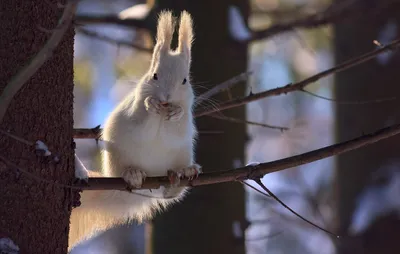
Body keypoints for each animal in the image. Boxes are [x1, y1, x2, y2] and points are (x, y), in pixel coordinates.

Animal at [69, 9, 202, 250]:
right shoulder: (134, 109)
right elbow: (141, 120)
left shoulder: (188, 112)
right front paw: (151, 105)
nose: (166, 97)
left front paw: (176, 113)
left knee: (169, 194)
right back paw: (133, 174)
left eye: (185, 81)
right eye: (154, 75)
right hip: (118, 159)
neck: (162, 115)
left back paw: (183, 173)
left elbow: (178, 126)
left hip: (181, 154)